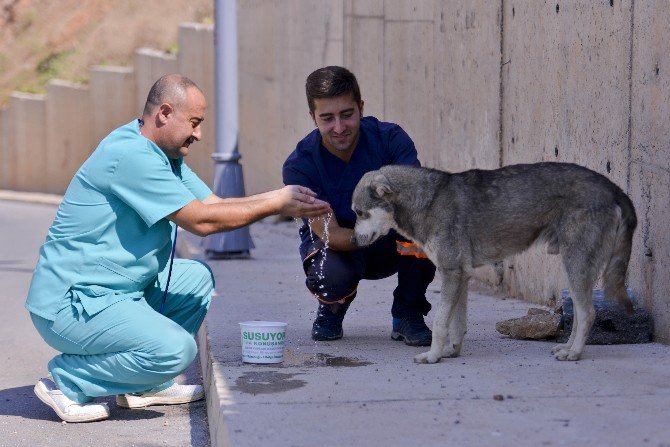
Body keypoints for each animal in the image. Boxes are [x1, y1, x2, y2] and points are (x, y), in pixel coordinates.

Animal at [352, 163, 640, 366]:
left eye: (360, 213)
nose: (352, 240)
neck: (427, 201)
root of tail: (612, 187)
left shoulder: (451, 273)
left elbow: (442, 321)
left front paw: (433, 356)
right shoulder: (461, 277)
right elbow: (456, 324)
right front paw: (451, 351)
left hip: (575, 263)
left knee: (588, 313)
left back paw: (575, 353)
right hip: (574, 267)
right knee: (580, 314)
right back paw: (568, 348)